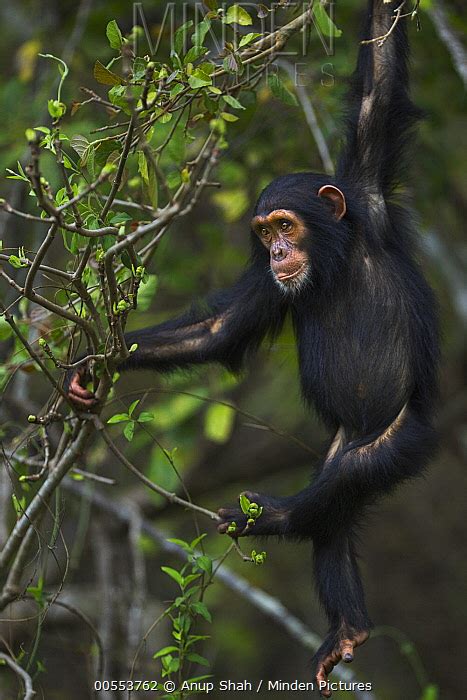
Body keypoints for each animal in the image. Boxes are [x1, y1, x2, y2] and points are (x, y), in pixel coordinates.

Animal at [67, 0, 440, 688]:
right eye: (264, 232)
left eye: (286, 223)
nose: (276, 249)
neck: (335, 258)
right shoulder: (270, 286)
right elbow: (219, 331)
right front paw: (93, 366)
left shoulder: (371, 195)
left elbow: (378, 86)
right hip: (346, 436)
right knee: (334, 519)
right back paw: (347, 628)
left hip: (402, 436)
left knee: (342, 485)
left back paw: (273, 517)